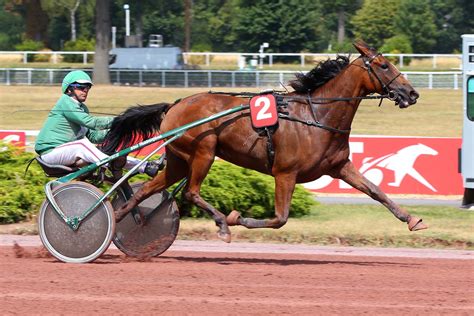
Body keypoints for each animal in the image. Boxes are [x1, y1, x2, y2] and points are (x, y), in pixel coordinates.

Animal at [104, 40, 430, 243]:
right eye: (384, 66)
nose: (412, 93)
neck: (317, 115)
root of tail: (175, 104)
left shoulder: (339, 166)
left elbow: (376, 191)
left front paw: (412, 218)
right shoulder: (285, 173)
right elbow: (280, 218)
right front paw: (239, 218)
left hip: (179, 159)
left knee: (147, 189)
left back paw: (121, 219)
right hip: (203, 151)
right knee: (191, 192)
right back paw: (222, 223)